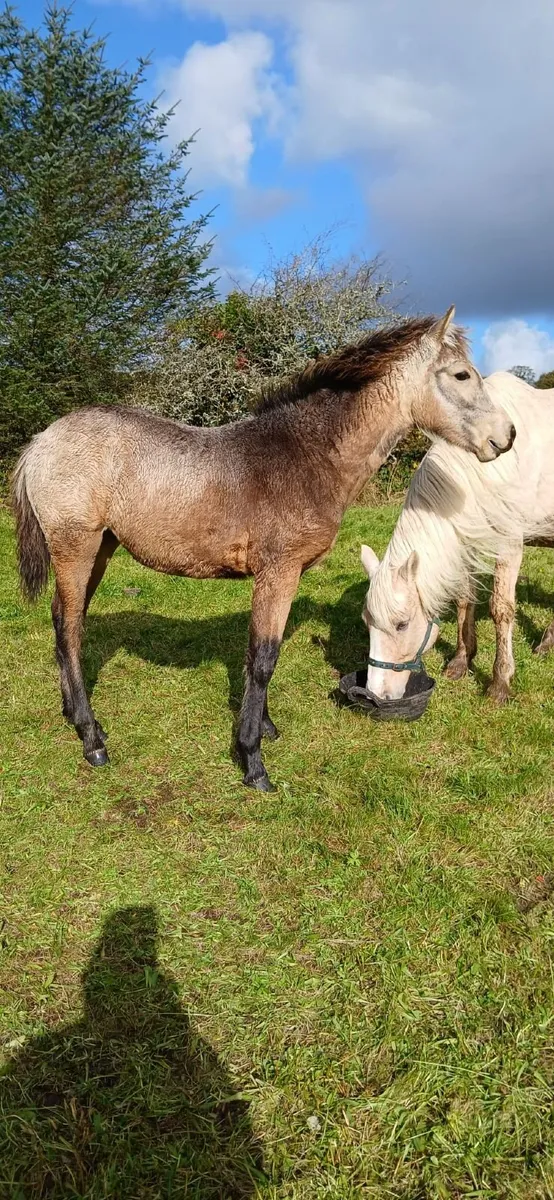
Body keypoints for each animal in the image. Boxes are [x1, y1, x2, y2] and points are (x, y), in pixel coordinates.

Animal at [12, 309, 515, 791]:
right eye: (462, 375)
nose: (506, 436)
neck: (308, 455)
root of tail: (40, 442)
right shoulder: (278, 570)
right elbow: (263, 658)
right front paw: (252, 761)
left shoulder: (286, 576)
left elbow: (262, 654)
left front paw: (265, 729)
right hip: (76, 546)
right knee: (69, 629)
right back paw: (91, 737)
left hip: (101, 548)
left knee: (64, 620)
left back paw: (74, 715)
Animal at [360, 370, 554, 704]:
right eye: (366, 622)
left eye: (402, 625)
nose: (376, 695)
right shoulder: (465, 544)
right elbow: (465, 601)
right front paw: (462, 661)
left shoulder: (509, 545)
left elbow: (501, 609)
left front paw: (500, 682)